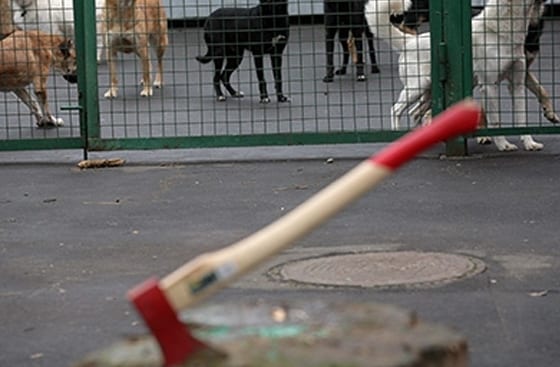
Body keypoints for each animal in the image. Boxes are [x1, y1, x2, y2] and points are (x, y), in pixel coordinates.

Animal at [366, 0, 544, 151]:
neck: (500, 31)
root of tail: (409, 41)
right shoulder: (489, 86)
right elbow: (496, 121)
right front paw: (504, 145)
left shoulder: (517, 85)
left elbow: (522, 118)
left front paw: (529, 143)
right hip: (416, 88)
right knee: (396, 110)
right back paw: (396, 140)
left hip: (429, 93)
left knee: (415, 113)